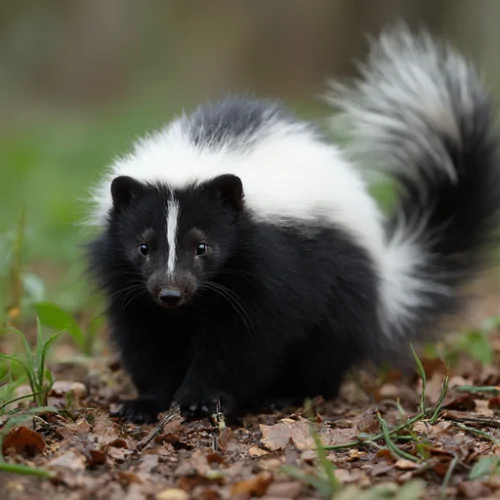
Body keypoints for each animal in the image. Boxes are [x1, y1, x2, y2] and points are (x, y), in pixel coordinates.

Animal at [85, 27, 500, 424]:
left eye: (202, 246)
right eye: (144, 246)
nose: (171, 292)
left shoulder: (270, 266)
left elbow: (246, 339)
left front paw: (201, 398)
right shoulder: (129, 281)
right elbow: (144, 338)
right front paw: (145, 402)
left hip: (343, 291)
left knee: (326, 351)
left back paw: (289, 394)